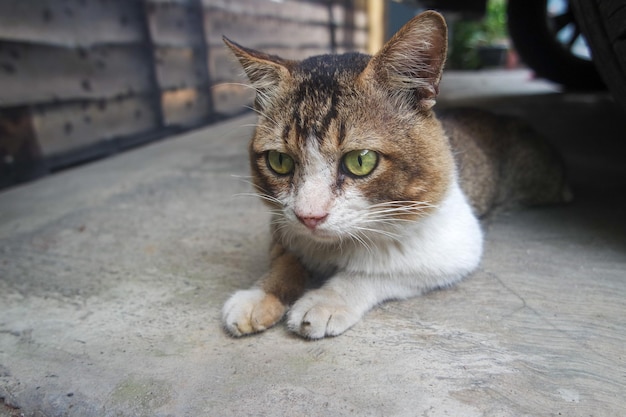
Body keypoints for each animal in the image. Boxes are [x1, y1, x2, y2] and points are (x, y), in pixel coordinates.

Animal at [219, 11, 564, 340]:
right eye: (280, 161)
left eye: (360, 160)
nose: (309, 217)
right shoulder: (281, 224)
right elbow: (285, 259)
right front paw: (261, 295)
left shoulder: (456, 245)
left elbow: (376, 272)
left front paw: (326, 300)